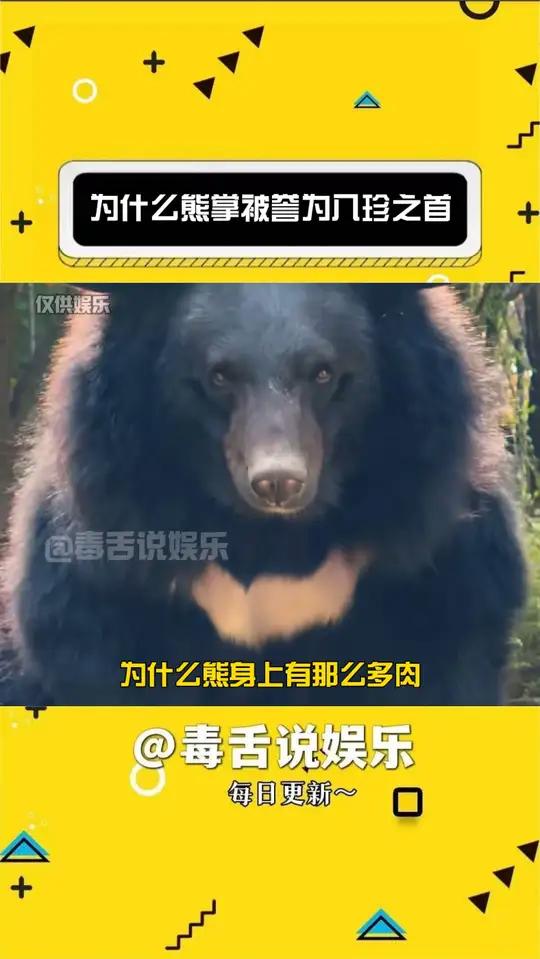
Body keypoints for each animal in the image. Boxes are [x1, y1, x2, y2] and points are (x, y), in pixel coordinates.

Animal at [0, 283, 527, 705]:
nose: (278, 481)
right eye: (220, 375)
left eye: (322, 373)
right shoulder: (111, 561)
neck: (265, 535)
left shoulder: (428, 548)